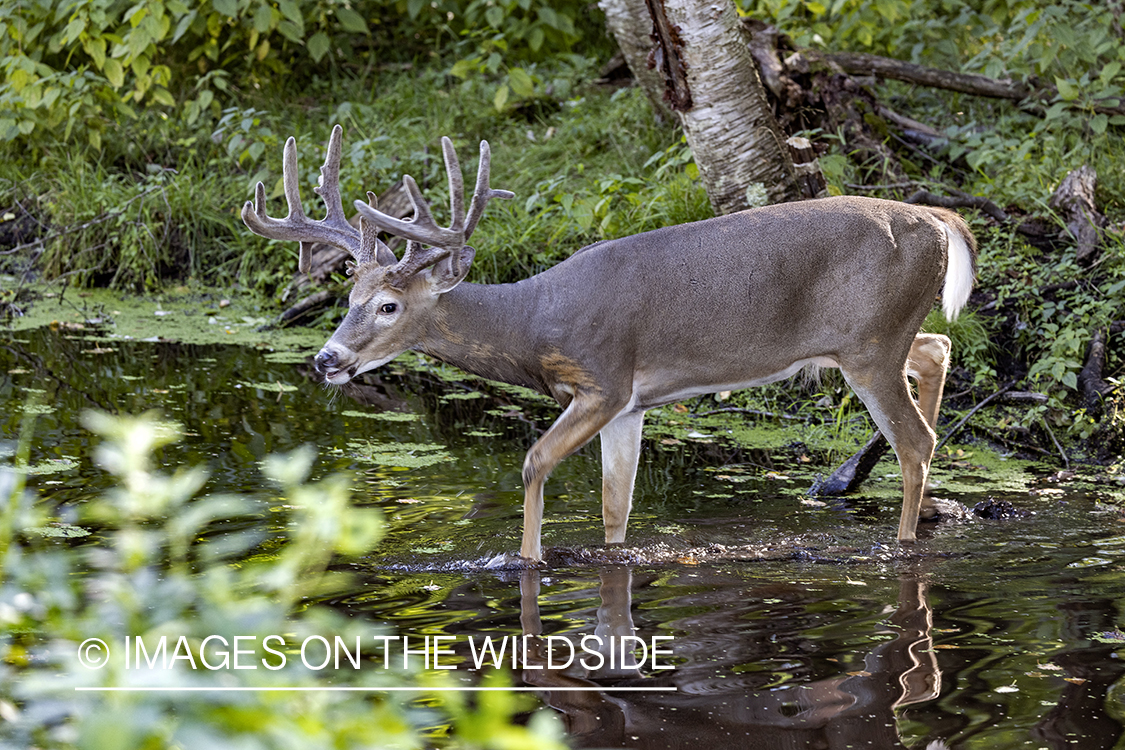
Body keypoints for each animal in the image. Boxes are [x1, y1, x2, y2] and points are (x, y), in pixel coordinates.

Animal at [239, 125, 976, 562]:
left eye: (388, 305)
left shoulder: (604, 381)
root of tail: (939, 218)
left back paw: (904, 536)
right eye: (346, 299)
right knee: (936, 349)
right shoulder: (631, 405)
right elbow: (614, 506)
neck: (535, 320)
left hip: (869, 343)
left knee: (918, 440)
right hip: (872, 340)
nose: (326, 358)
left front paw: (528, 559)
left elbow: (533, 462)